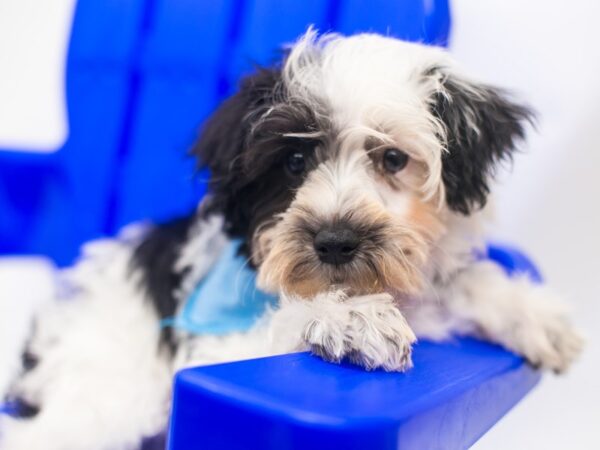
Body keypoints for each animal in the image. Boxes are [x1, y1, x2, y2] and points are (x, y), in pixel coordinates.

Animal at [0, 30, 580, 450]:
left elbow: (458, 283)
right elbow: (281, 323)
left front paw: (530, 312)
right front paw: (347, 316)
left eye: (393, 159)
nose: (335, 240)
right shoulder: (212, 346)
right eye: (295, 161)